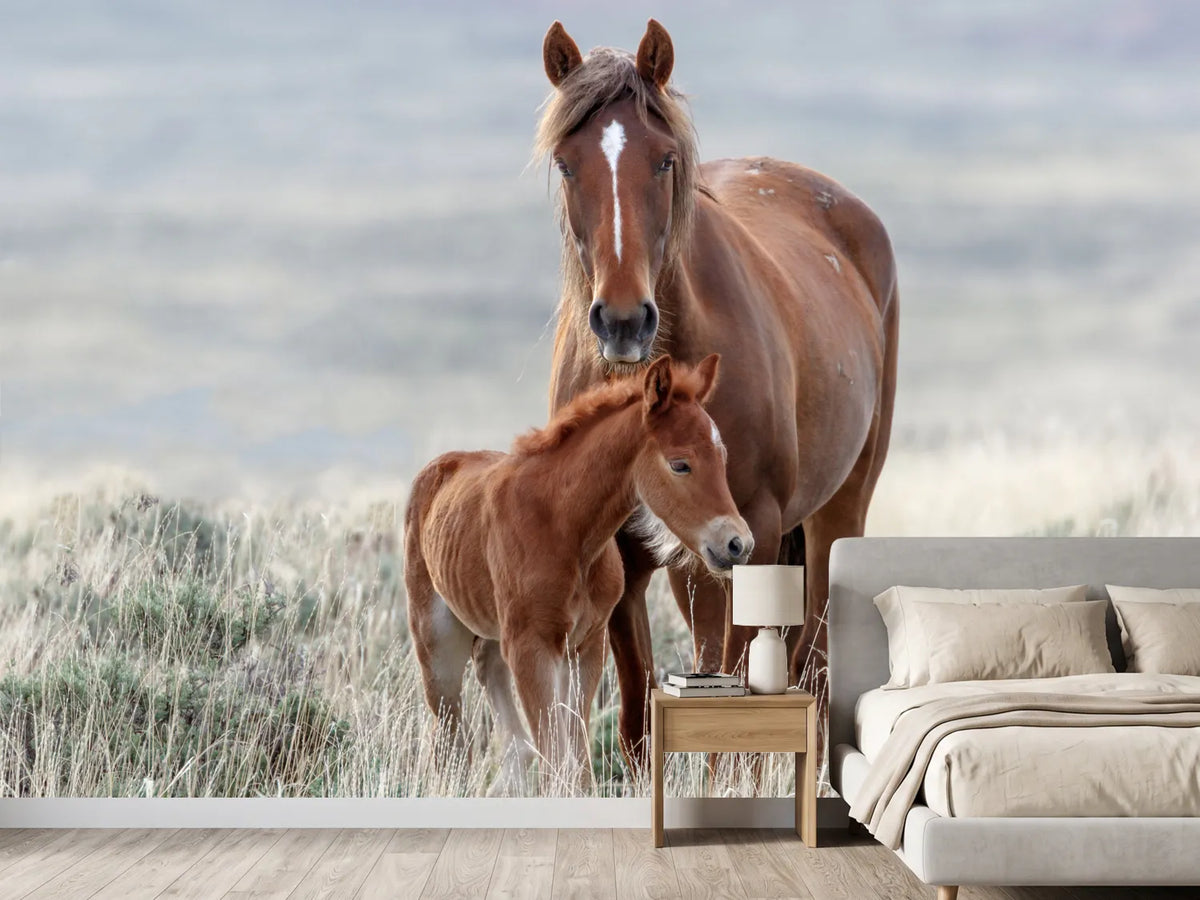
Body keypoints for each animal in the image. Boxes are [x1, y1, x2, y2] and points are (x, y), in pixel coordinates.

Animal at [403, 354, 752, 793]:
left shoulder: (586, 646)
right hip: (436, 640)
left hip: (494, 630)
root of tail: (437, 468)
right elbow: (556, 757)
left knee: (488, 672)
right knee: (449, 728)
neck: (566, 529)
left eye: (722, 458)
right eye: (680, 464)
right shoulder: (531, 647)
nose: (738, 544)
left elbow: (577, 759)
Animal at [536, 19, 899, 765]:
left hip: (835, 511)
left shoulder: (750, 534)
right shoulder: (624, 554)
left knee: (816, 661)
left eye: (665, 160)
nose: (623, 321)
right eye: (565, 163)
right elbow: (641, 713)